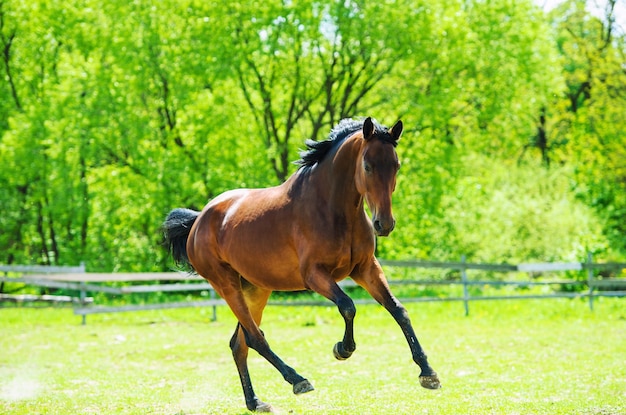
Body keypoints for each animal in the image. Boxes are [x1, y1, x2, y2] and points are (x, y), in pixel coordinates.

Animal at [162, 117, 438, 412]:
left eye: (396, 165)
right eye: (367, 165)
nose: (384, 224)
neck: (332, 208)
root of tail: (199, 219)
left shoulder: (365, 268)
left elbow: (398, 310)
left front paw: (428, 373)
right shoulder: (315, 275)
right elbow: (348, 306)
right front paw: (342, 349)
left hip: (256, 289)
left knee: (239, 343)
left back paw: (255, 402)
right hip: (226, 285)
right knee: (254, 338)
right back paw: (298, 380)